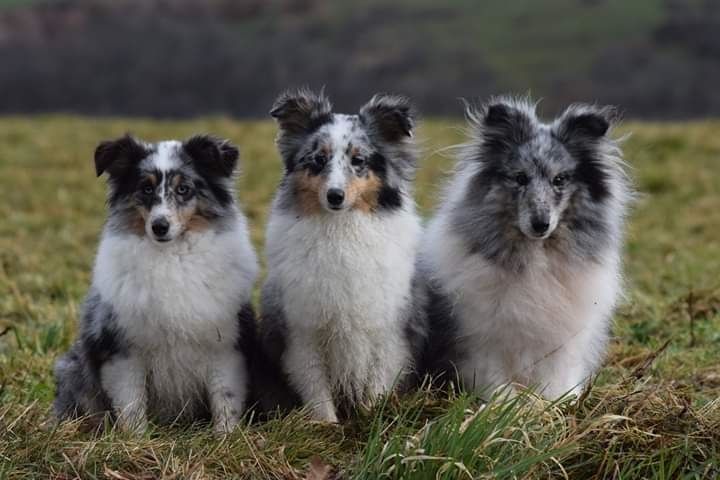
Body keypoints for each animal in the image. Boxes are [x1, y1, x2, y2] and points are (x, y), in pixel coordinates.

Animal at [54, 133, 262, 434]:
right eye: (146, 188)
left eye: (184, 189)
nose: (159, 226)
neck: (171, 258)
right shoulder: (123, 350)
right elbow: (131, 402)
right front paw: (136, 439)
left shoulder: (225, 346)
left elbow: (225, 398)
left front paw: (227, 437)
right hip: (73, 367)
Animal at [260, 88, 424, 422]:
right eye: (318, 159)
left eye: (358, 160)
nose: (335, 196)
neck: (341, 230)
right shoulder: (303, 332)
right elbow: (316, 388)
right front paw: (327, 426)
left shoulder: (388, 330)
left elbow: (377, 382)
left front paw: (371, 417)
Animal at [416, 96, 632, 398]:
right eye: (520, 178)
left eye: (559, 180)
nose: (541, 224)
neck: (536, 259)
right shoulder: (483, 341)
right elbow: (496, 381)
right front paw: (506, 403)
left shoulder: (561, 345)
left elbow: (555, 382)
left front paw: (555, 403)